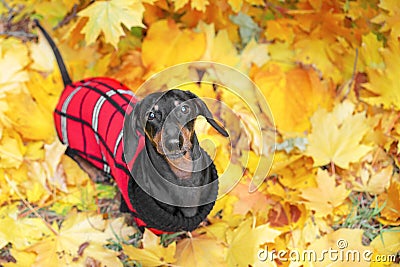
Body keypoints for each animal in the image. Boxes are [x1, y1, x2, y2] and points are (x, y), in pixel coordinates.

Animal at [35, 21, 228, 234]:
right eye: (150, 115)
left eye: (184, 108)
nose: (172, 142)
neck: (182, 176)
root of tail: (71, 86)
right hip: (68, 137)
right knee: (70, 151)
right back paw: (95, 171)